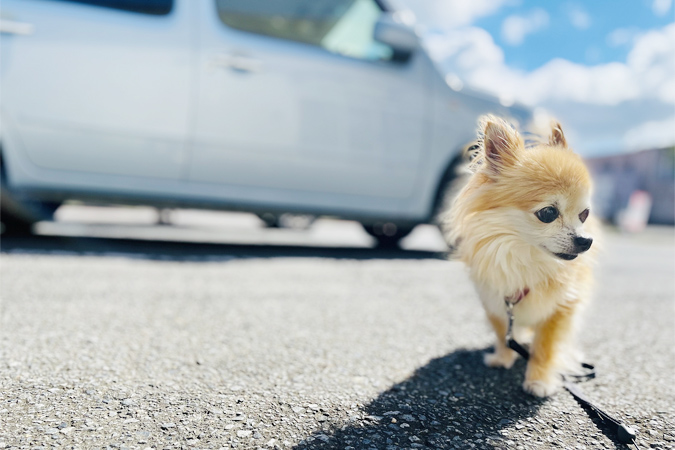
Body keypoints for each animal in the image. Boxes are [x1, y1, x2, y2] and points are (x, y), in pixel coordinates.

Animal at [446, 114, 600, 396]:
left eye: (584, 215)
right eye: (548, 213)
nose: (586, 241)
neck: (525, 257)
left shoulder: (561, 308)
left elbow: (546, 348)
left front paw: (539, 381)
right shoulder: (496, 302)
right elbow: (502, 334)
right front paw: (502, 358)